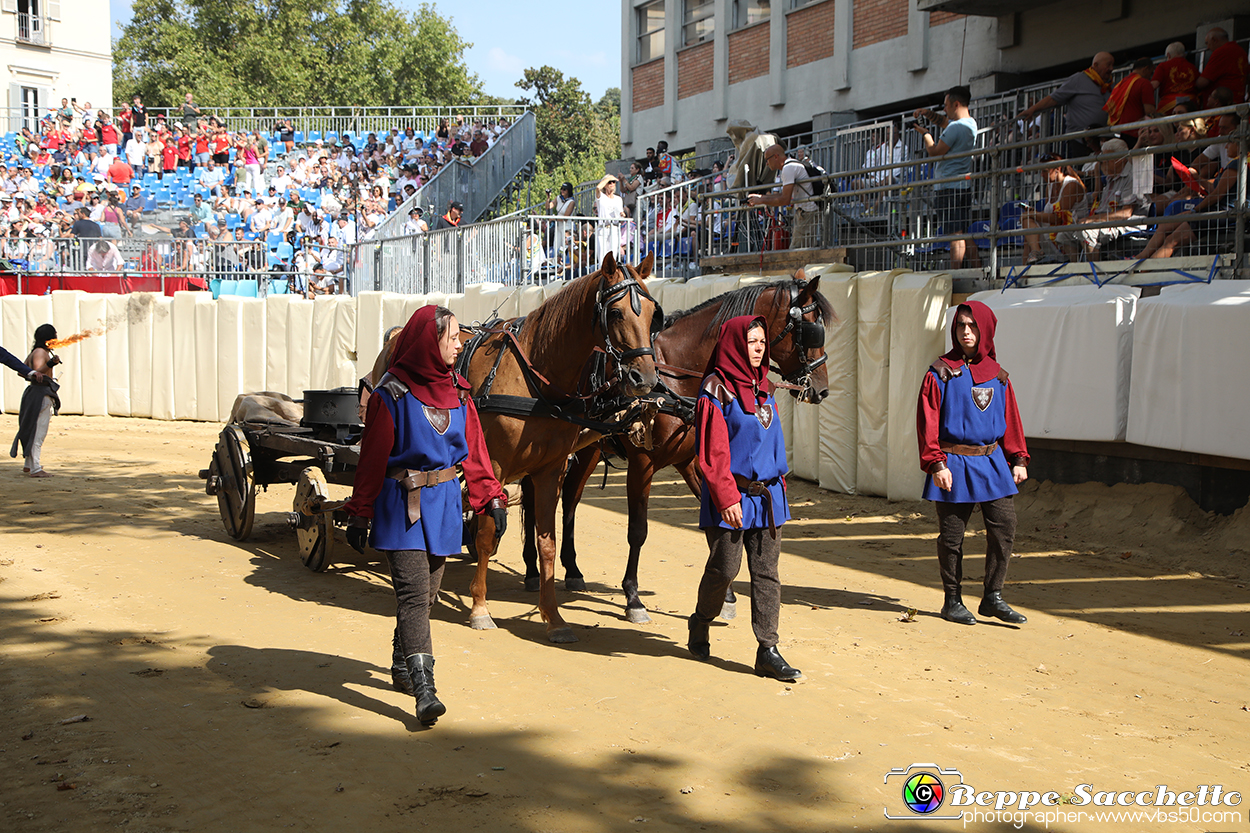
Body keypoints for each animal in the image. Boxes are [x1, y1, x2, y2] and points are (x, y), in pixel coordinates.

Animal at [462, 252, 665, 640]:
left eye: (652, 313)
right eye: (616, 313)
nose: (645, 379)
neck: (535, 376)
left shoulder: (549, 469)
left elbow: (547, 542)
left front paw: (553, 617)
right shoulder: (493, 465)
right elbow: (485, 533)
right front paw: (480, 608)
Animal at [522, 273, 835, 622]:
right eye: (809, 328)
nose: (822, 389)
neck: (675, 375)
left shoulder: (694, 462)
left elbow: (718, 523)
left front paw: (726, 595)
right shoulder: (642, 463)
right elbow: (638, 530)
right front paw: (633, 597)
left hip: (588, 450)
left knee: (571, 500)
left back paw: (573, 570)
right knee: (535, 498)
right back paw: (532, 570)